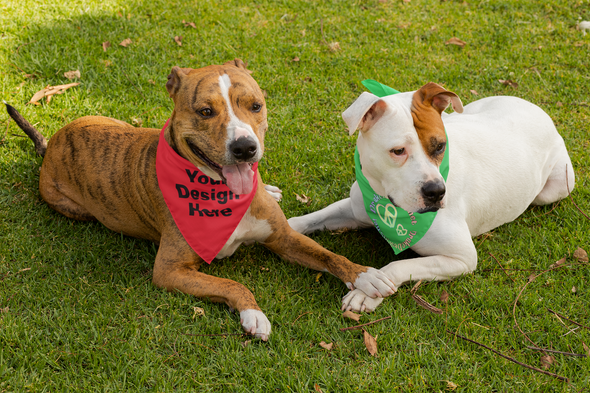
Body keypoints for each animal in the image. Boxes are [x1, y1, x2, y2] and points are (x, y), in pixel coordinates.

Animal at [290, 81, 576, 310]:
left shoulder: (461, 258)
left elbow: (399, 266)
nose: (436, 191)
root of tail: (535, 107)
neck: (387, 204)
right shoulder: (355, 208)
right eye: (398, 151)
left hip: (555, 187)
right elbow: (308, 219)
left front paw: (367, 291)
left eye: (440, 146)